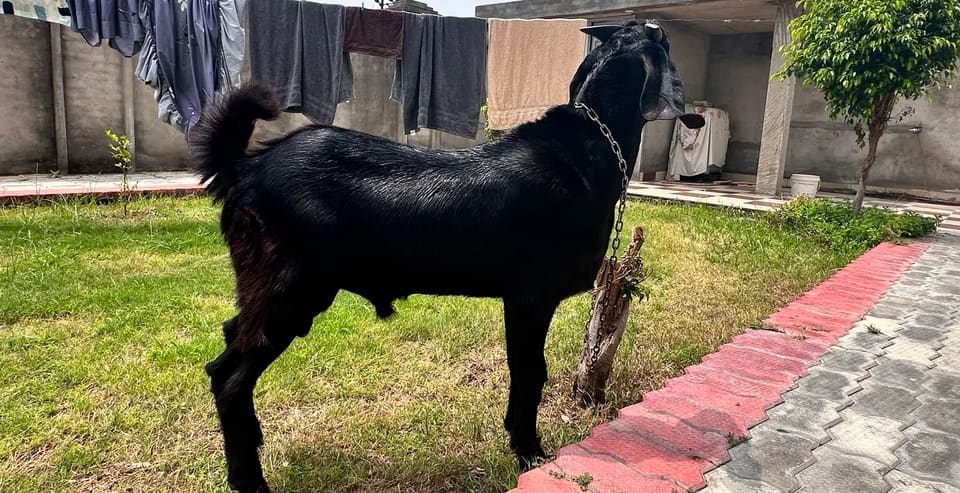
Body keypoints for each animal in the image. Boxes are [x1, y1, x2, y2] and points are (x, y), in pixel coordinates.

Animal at [191, 20, 704, 492]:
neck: (585, 151)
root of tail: (246, 167)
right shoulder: (530, 297)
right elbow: (530, 371)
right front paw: (529, 452)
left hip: (266, 288)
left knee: (224, 355)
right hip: (294, 290)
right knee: (232, 378)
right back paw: (250, 480)